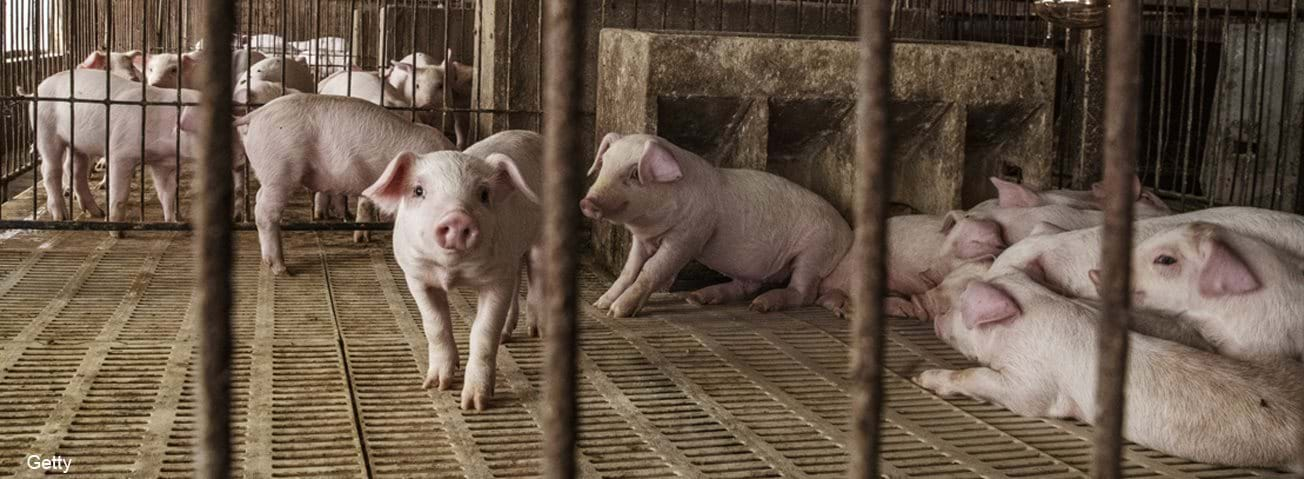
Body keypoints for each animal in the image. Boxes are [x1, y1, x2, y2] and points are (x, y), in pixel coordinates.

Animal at [362, 132, 539, 412]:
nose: (458, 218)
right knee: (518, 281)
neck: (451, 271)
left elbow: (483, 332)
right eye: (418, 190)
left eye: (484, 194)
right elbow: (435, 324)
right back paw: (505, 336)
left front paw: (475, 404)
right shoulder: (416, 276)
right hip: (513, 256)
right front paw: (437, 385)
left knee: (536, 278)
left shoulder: (496, 278)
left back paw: (535, 331)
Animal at [584, 133, 850, 317]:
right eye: (604, 164)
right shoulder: (643, 240)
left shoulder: (690, 236)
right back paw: (697, 298)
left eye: (634, 174)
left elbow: (653, 269)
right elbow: (629, 270)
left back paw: (760, 305)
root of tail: (846, 233)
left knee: (804, 293)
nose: (587, 202)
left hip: (814, 252)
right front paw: (601, 304)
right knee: (748, 285)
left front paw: (617, 312)